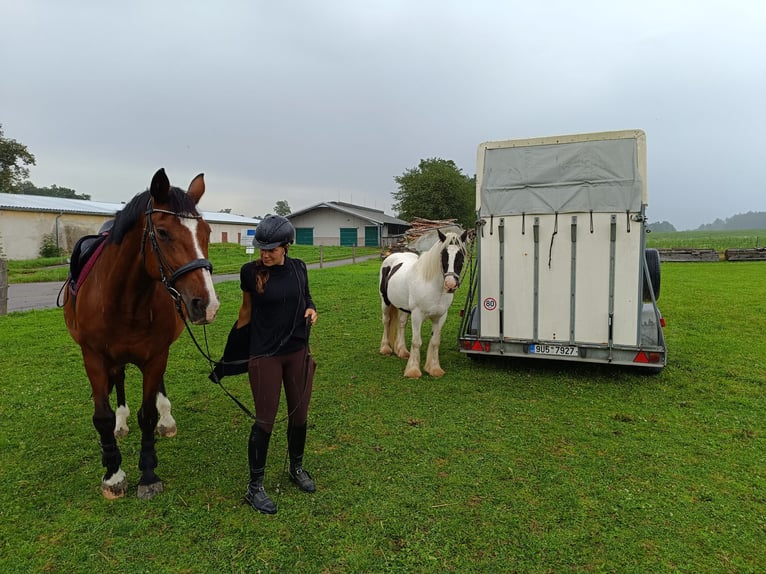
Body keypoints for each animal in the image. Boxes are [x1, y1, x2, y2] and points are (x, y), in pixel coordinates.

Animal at [62, 168, 220, 500]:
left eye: (207, 232)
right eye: (162, 232)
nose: (207, 305)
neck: (125, 300)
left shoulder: (156, 355)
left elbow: (147, 414)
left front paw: (148, 473)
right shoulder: (94, 358)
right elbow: (102, 417)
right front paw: (113, 475)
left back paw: (166, 419)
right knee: (120, 380)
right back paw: (121, 424)